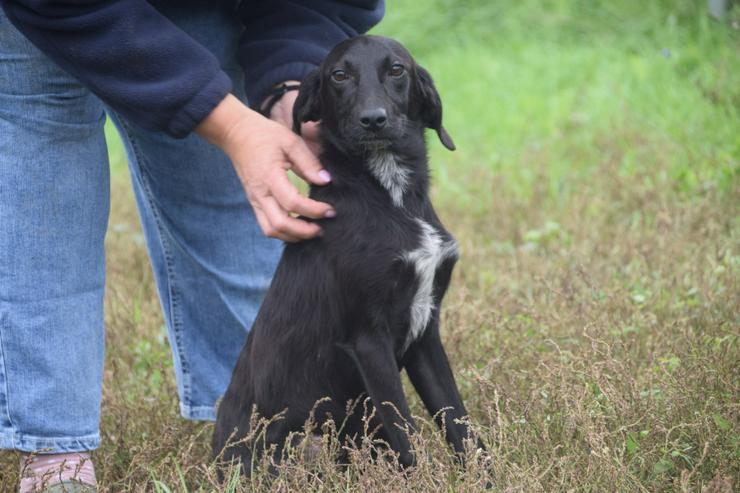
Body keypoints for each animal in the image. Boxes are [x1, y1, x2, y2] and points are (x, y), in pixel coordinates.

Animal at [211, 33, 482, 472]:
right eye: (339, 75)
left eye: (396, 69)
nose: (373, 120)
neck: (390, 192)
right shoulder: (369, 339)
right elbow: (408, 436)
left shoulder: (425, 333)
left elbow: (462, 427)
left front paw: (486, 479)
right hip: (303, 441)